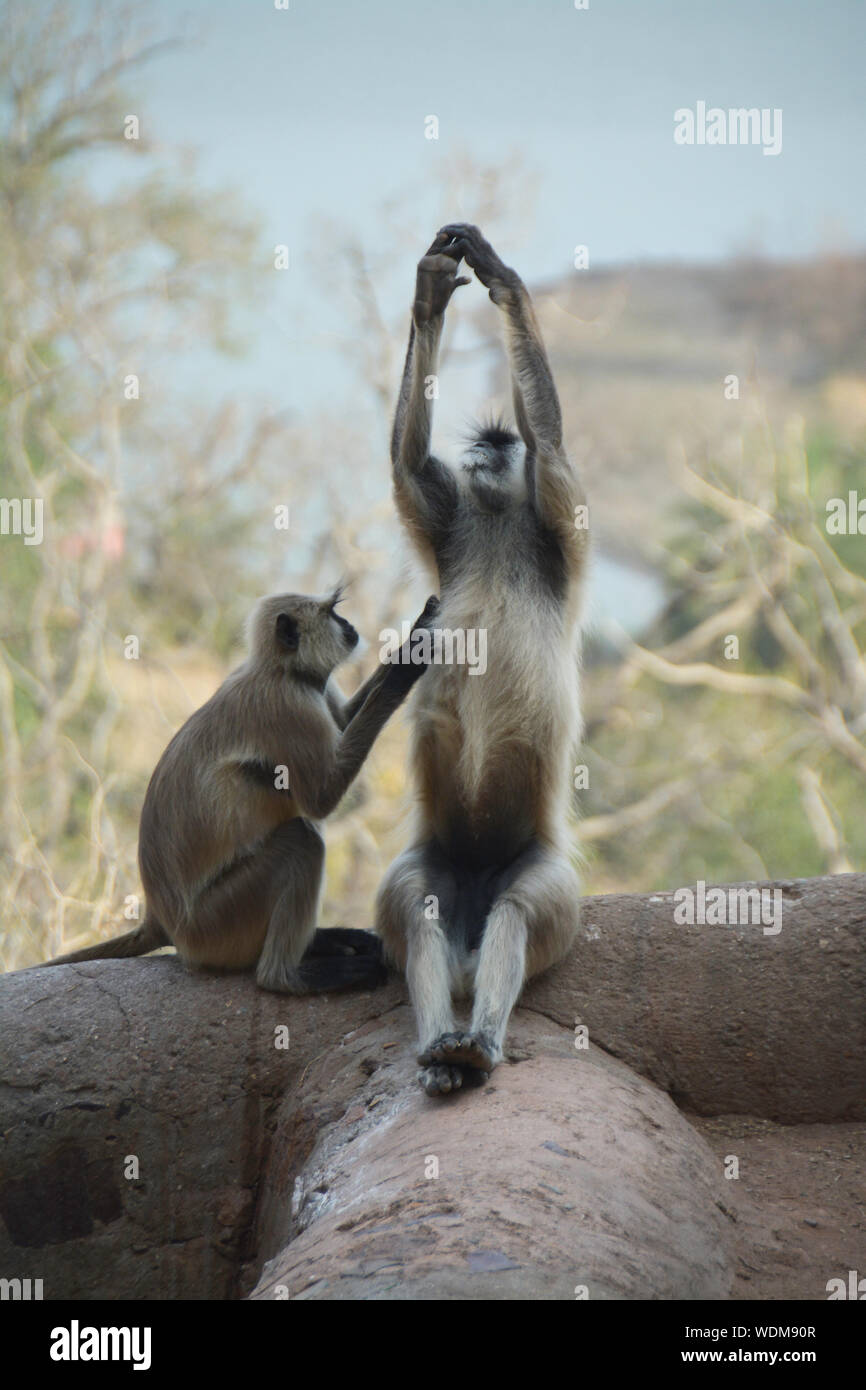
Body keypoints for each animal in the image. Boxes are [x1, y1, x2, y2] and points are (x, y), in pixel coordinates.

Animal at [45, 592, 439, 995]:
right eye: (332, 612)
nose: (349, 625)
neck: (279, 670)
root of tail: (160, 921)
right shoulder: (288, 704)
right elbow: (320, 800)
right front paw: (408, 663)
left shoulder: (313, 692)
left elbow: (342, 721)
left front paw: (418, 630)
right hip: (219, 922)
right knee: (301, 839)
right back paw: (286, 976)